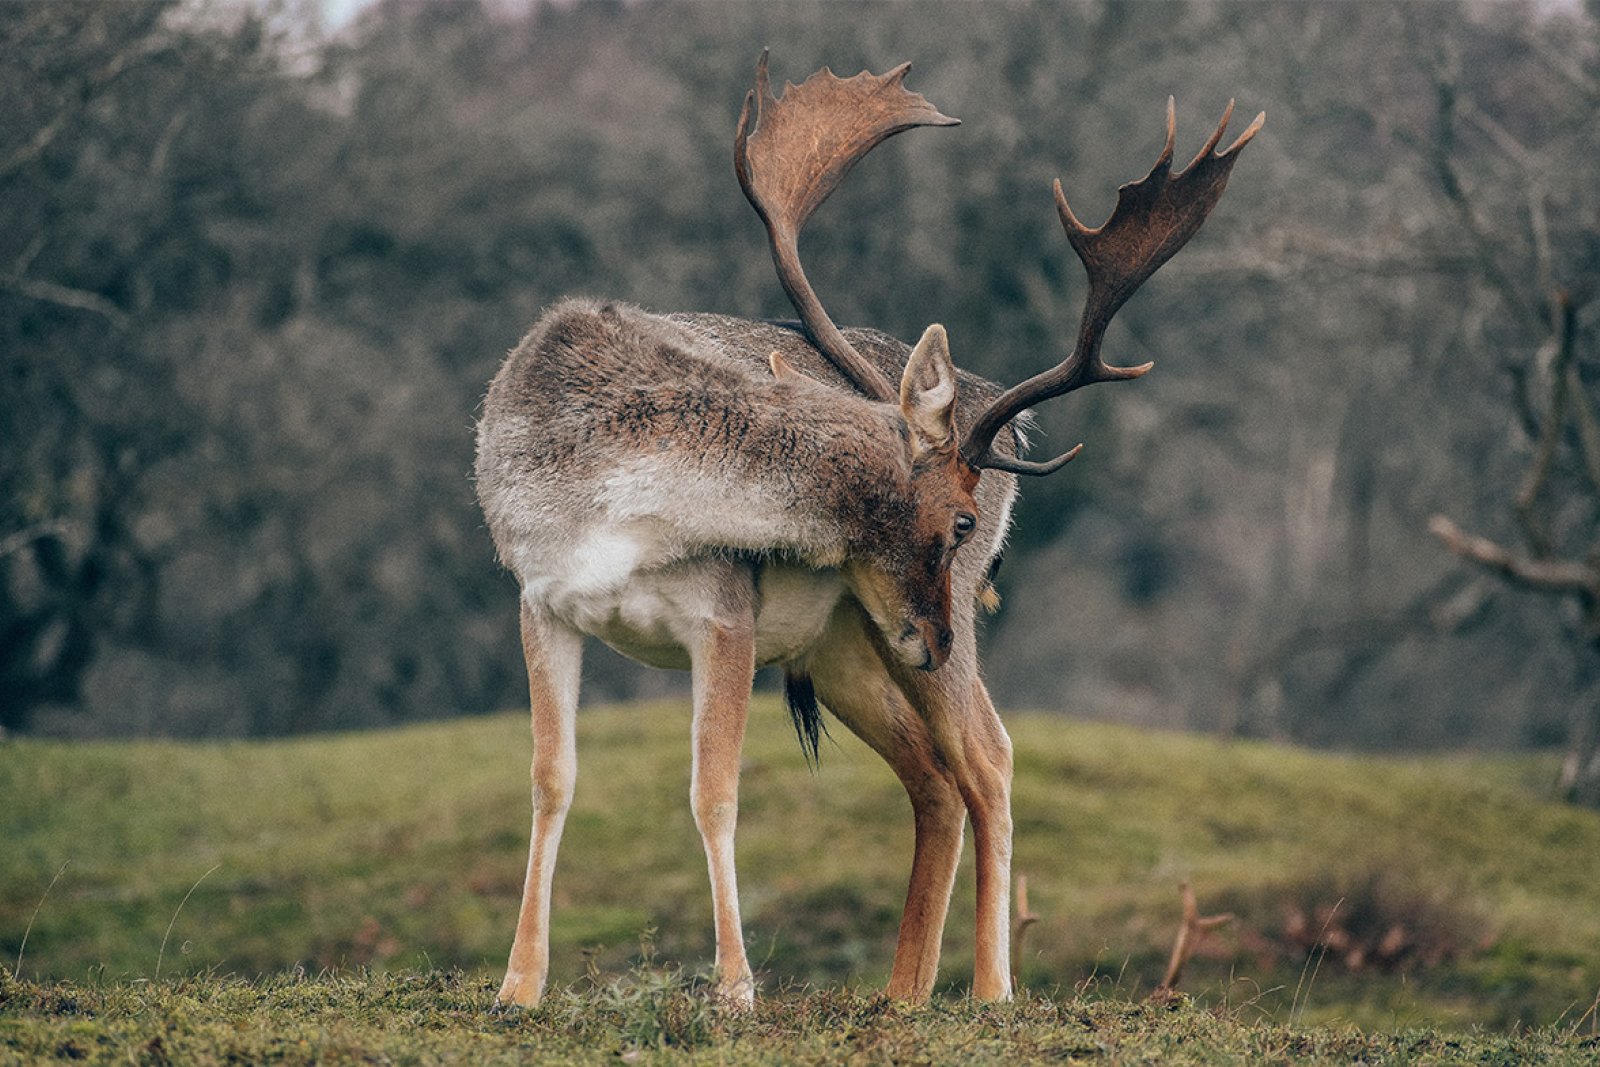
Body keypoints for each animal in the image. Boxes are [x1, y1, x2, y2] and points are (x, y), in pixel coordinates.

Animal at [473, 51, 1260, 1011]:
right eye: (957, 520)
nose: (938, 634)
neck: (607, 497)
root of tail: (1009, 433)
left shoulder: (724, 614)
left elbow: (714, 791)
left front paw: (736, 988)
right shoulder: (540, 597)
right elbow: (550, 782)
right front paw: (517, 986)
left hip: (881, 645)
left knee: (989, 757)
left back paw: (991, 991)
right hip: (846, 643)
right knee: (935, 777)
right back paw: (903, 994)